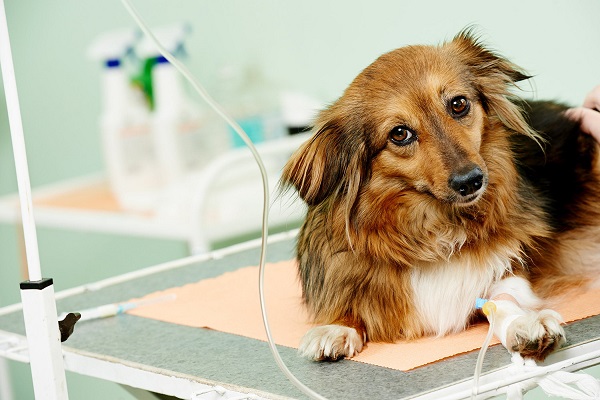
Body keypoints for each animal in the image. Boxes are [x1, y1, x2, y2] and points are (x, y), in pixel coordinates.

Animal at [282, 30, 600, 362]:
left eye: (458, 104)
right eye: (399, 134)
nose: (471, 181)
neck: (435, 226)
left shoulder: (511, 266)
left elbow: (503, 298)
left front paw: (524, 324)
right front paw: (337, 327)